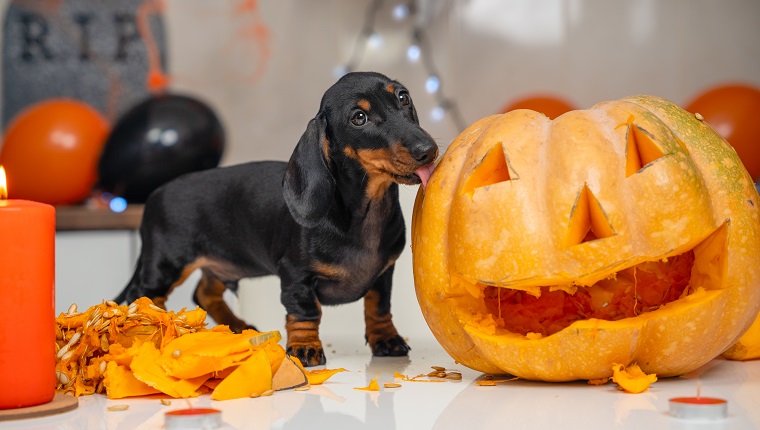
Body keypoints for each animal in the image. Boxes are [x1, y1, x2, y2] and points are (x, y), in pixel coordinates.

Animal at [117, 71, 440, 366]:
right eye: (359, 118)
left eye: (403, 97)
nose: (428, 150)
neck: (365, 213)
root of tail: (155, 194)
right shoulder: (296, 275)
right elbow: (306, 311)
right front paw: (305, 347)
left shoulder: (384, 274)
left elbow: (378, 307)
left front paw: (385, 339)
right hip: (165, 265)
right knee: (143, 297)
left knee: (204, 293)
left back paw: (237, 327)